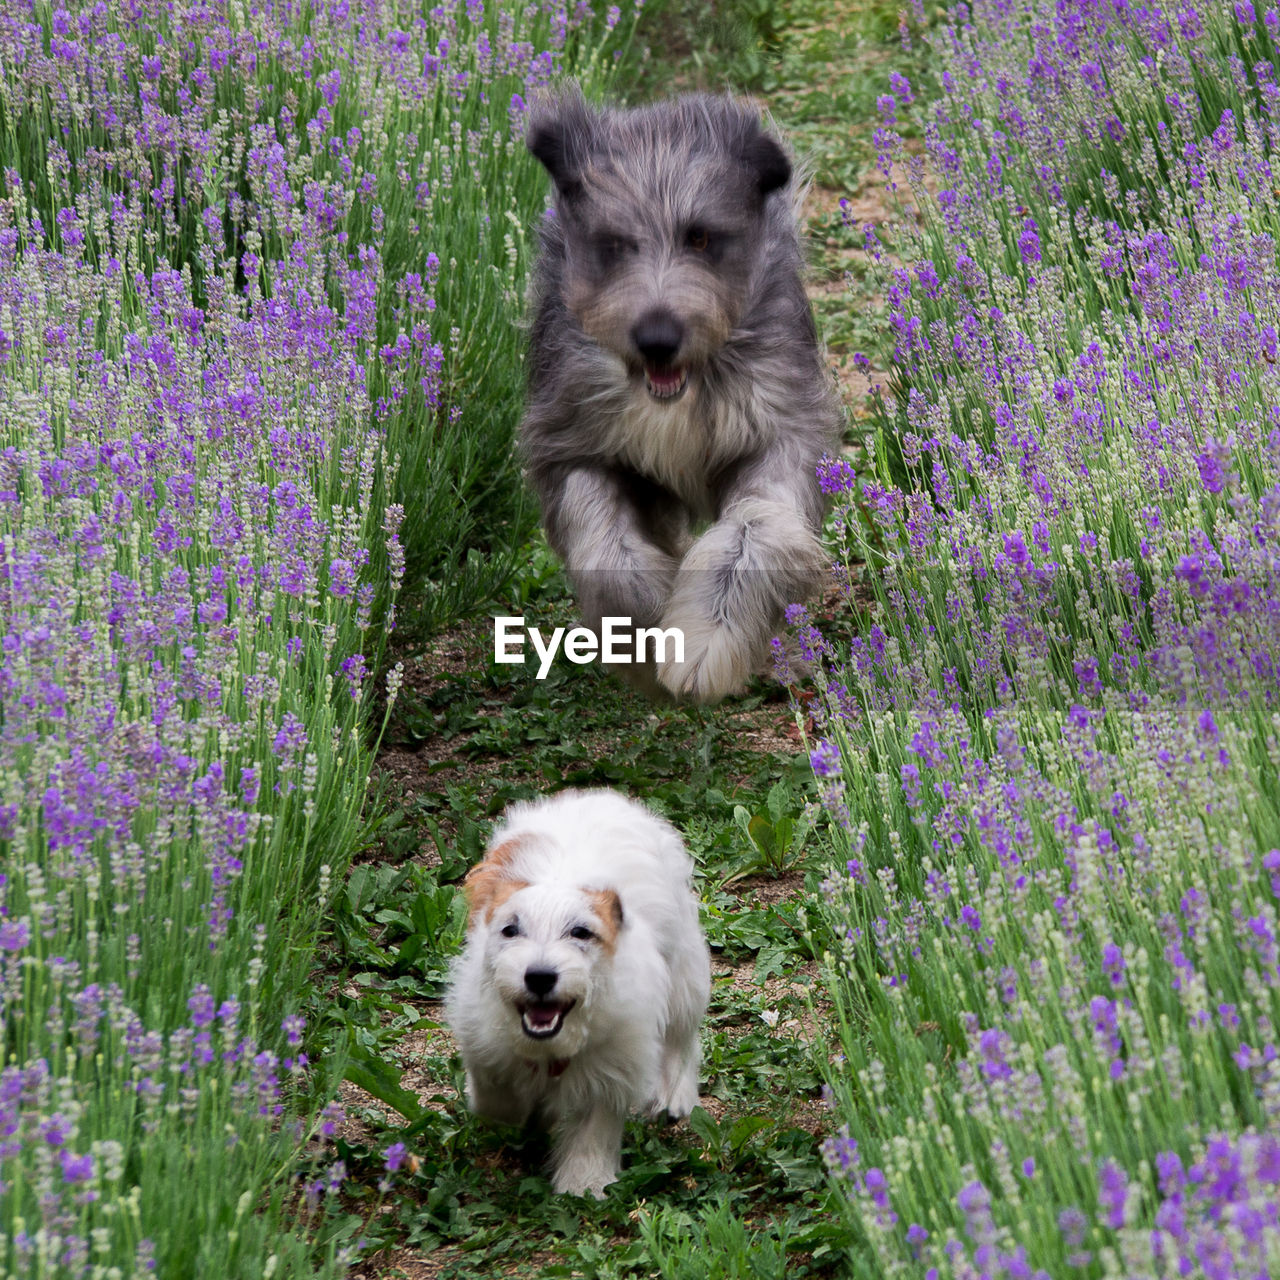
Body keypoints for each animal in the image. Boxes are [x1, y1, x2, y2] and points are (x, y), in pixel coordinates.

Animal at [448, 788, 711, 1198]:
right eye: (510, 930)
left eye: (581, 933)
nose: (540, 976)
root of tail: (601, 795)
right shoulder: (484, 1041)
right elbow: (498, 1096)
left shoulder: (612, 1069)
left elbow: (592, 1130)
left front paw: (583, 1185)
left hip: (684, 975)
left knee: (680, 1039)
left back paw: (674, 1096)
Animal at [519, 88, 839, 706]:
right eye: (614, 244)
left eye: (701, 237)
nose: (657, 339)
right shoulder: (576, 439)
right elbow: (609, 551)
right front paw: (644, 644)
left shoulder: (778, 428)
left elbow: (753, 532)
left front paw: (705, 644)